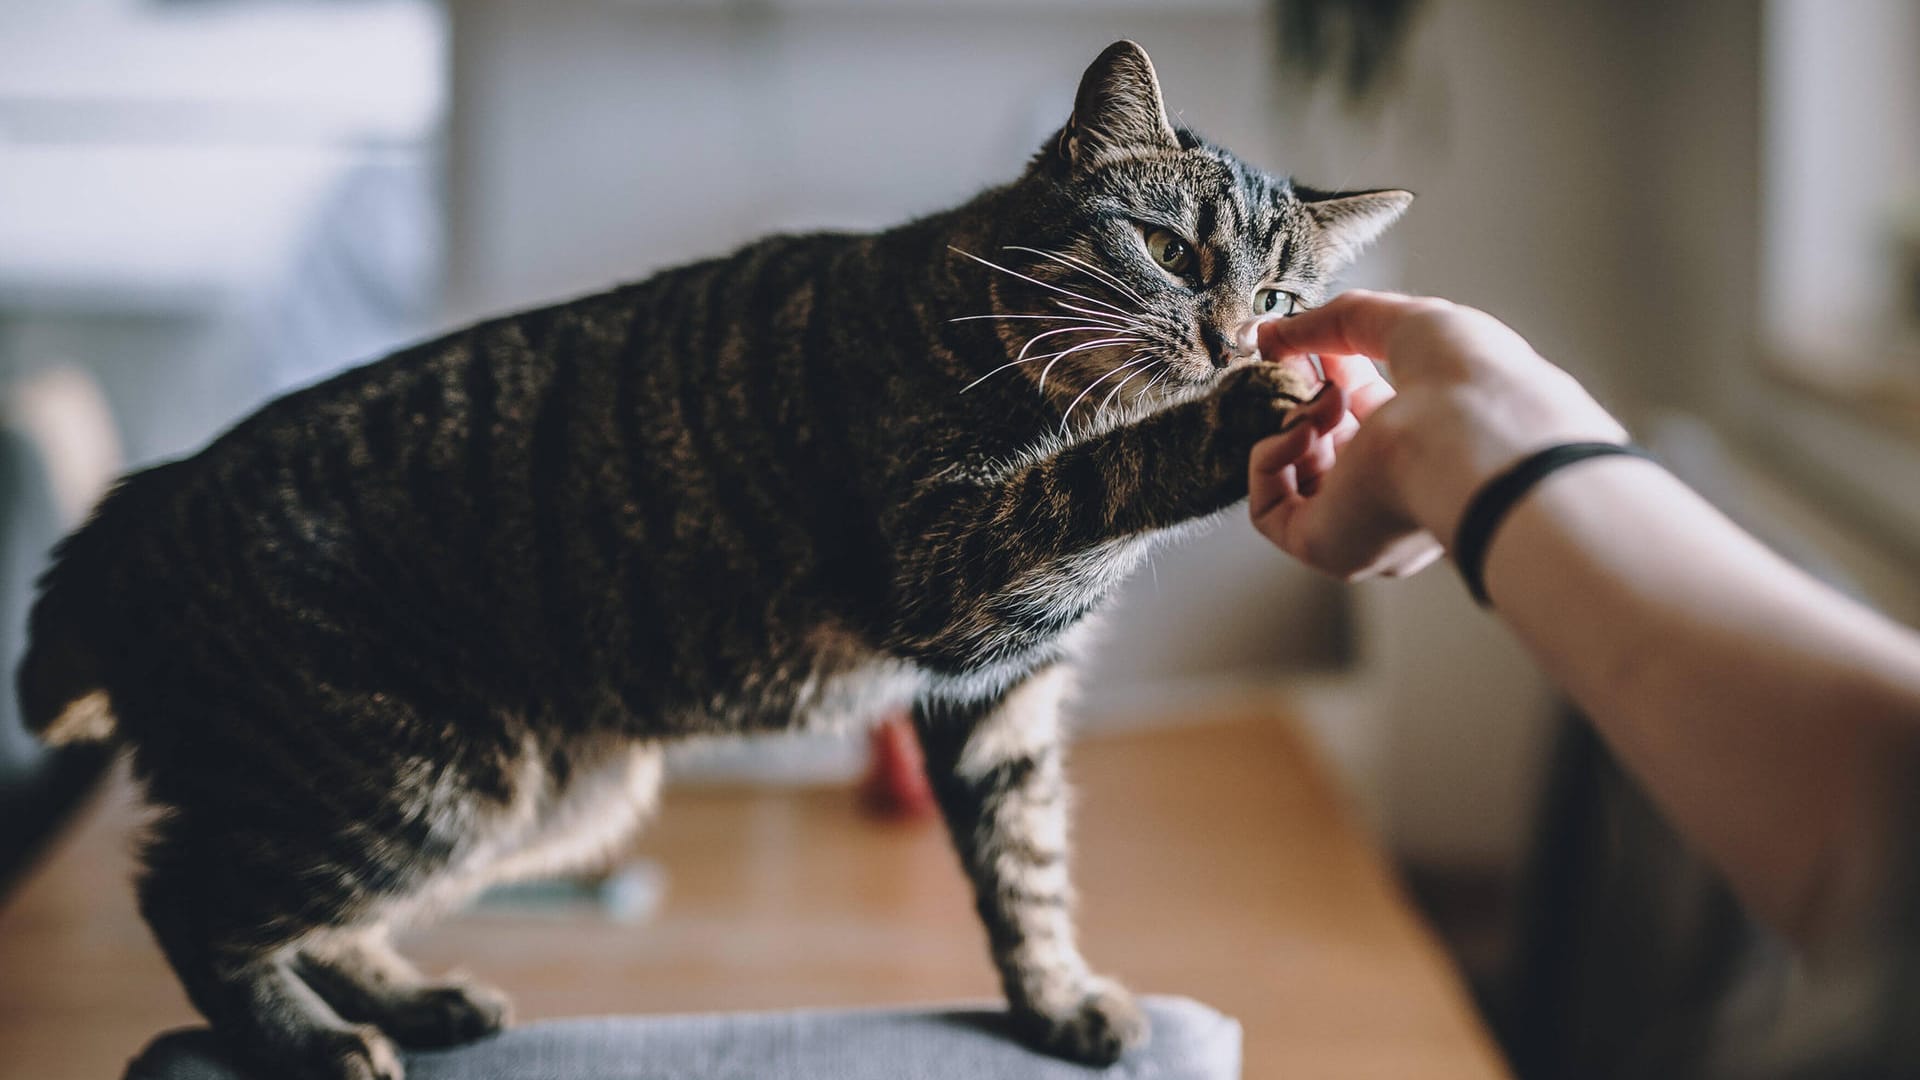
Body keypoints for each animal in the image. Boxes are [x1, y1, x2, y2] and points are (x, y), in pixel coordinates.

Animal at [15, 39, 1413, 1076]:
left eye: (1281, 299)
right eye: (1173, 251)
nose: (1236, 341)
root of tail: (147, 502)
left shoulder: (1000, 693)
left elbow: (1026, 866)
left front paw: (1056, 1001)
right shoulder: (949, 567)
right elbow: (1105, 475)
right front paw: (1234, 420)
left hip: (534, 795)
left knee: (306, 915)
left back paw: (417, 1001)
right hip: (399, 775)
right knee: (191, 900)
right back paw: (316, 1044)